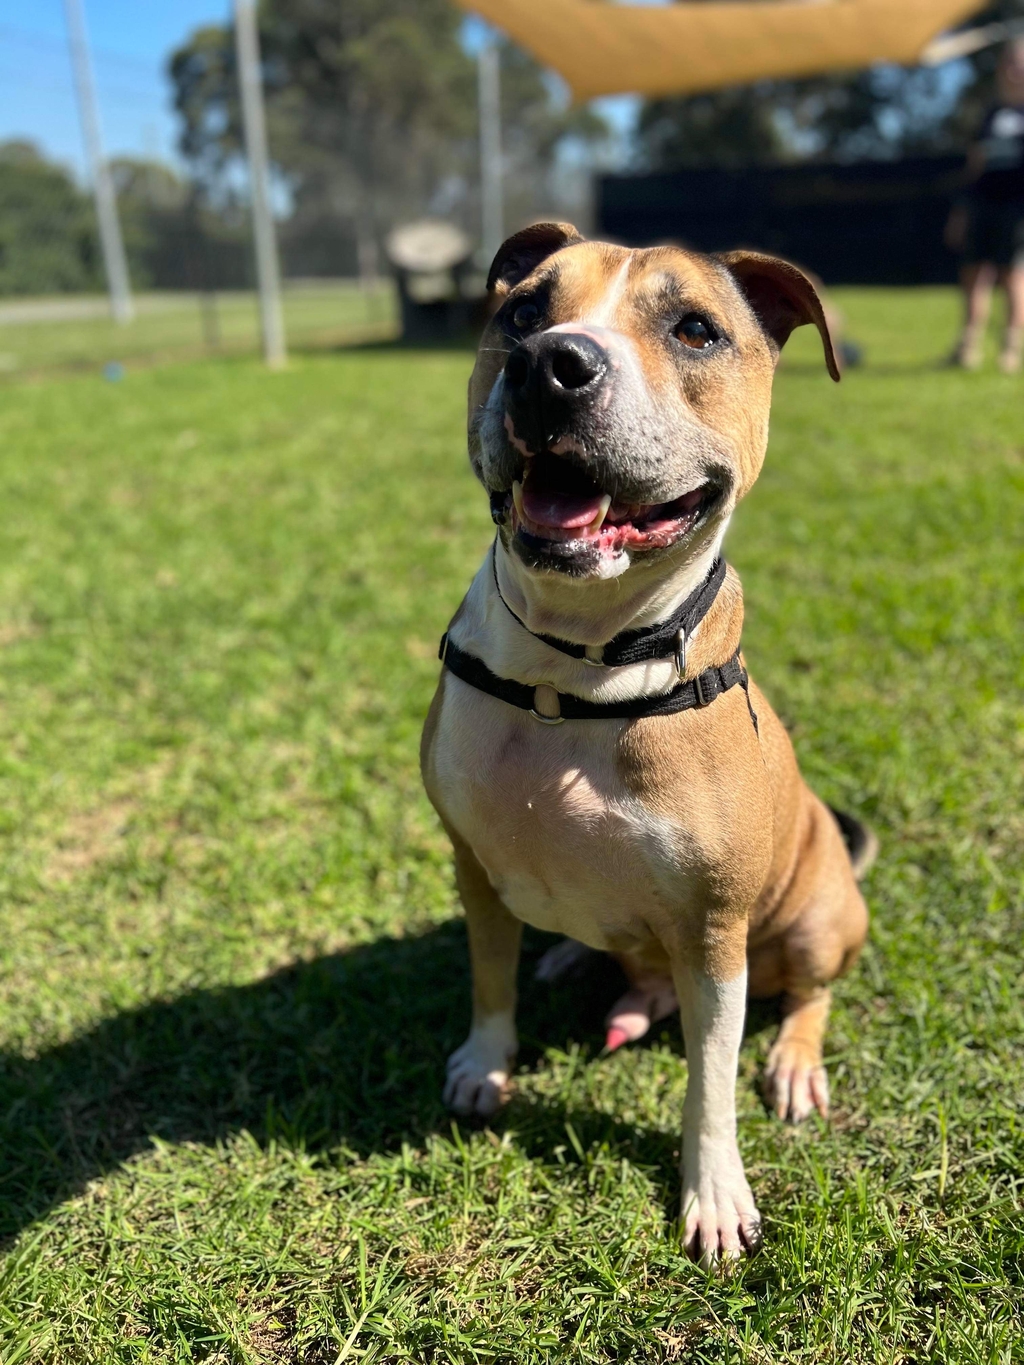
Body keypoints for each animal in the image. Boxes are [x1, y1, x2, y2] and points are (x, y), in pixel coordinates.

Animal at [417, 218, 873, 1261]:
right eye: (522, 310)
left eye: (696, 330)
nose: (552, 364)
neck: (574, 674)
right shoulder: (471, 864)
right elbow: (489, 978)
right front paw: (484, 1062)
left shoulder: (712, 933)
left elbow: (709, 1080)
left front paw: (715, 1192)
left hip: (818, 918)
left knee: (810, 994)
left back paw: (794, 1062)